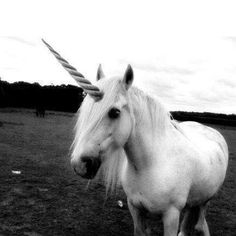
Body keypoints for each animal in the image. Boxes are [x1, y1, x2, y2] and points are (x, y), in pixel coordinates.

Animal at [71, 65, 228, 236]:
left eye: (115, 112)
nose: (80, 164)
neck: (150, 165)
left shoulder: (171, 215)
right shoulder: (134, 208)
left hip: (206, 198)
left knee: (201, 218)